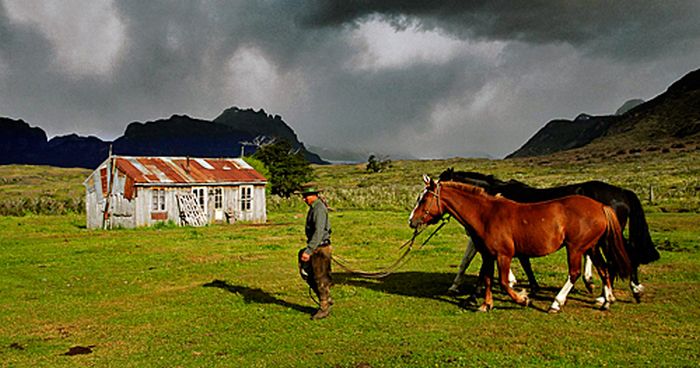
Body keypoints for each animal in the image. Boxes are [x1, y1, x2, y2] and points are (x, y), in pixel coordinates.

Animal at [410, 176, 636, 314]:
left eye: (424, 200)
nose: (412, 221)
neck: (486, 214)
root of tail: (600, 206)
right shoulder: (488, 255)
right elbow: (487, 278)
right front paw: (485, 304)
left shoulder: (504, 255)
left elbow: (503, 281)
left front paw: (523, 298)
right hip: (592, 247)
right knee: (604, 270)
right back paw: (607, 301)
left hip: (576, 248)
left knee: (575, 273)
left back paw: (556, 303)